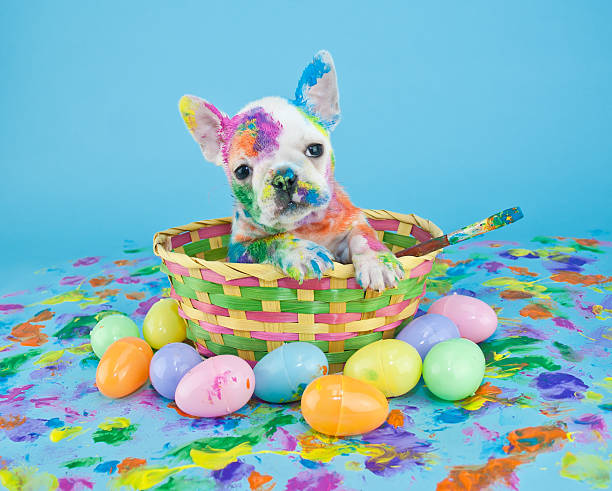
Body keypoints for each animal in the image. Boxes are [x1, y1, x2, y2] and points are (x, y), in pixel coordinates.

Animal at [179, 49, 404, 292]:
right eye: (242, 171)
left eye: (315, 149)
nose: (283, 178)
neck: (306, 225)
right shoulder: (241, 250)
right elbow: (271, 241)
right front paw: (303, 253)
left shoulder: (353, 220)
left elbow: (364, 236)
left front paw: (378, 263)